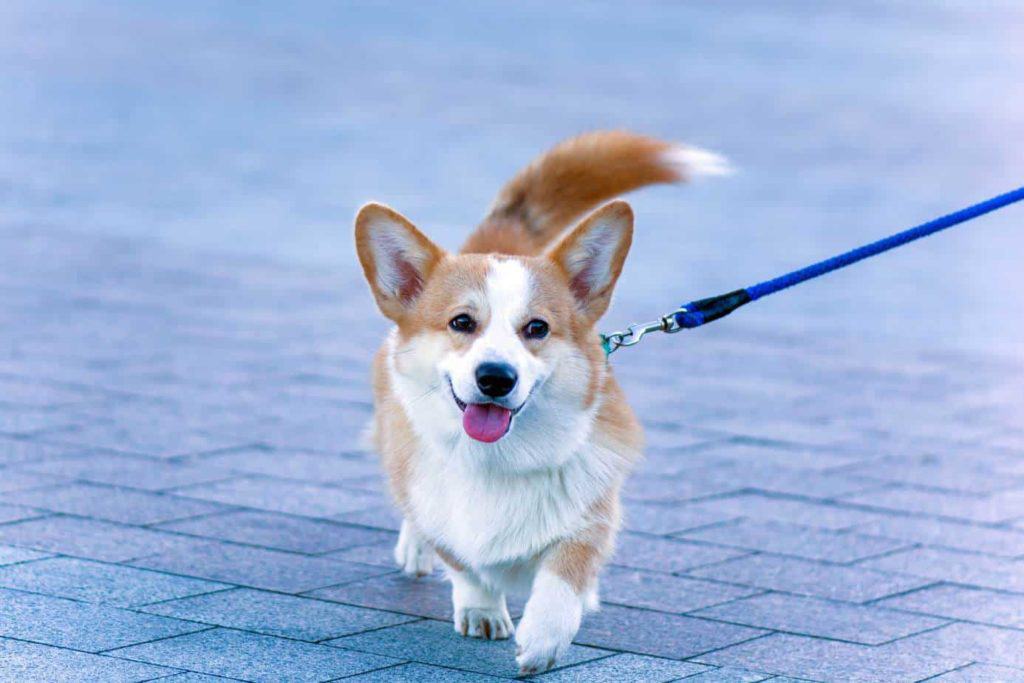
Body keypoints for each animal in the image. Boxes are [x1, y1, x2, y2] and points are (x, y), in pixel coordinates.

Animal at [356, 131, 724, 675]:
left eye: (537, 328)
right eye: (461, 322)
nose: (495, 378)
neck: (497, 462)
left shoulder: (593, 512)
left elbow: (566, 570)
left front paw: (546, 636)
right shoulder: (441, 510)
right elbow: (464, 564)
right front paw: (482, 609)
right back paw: (414, 547)